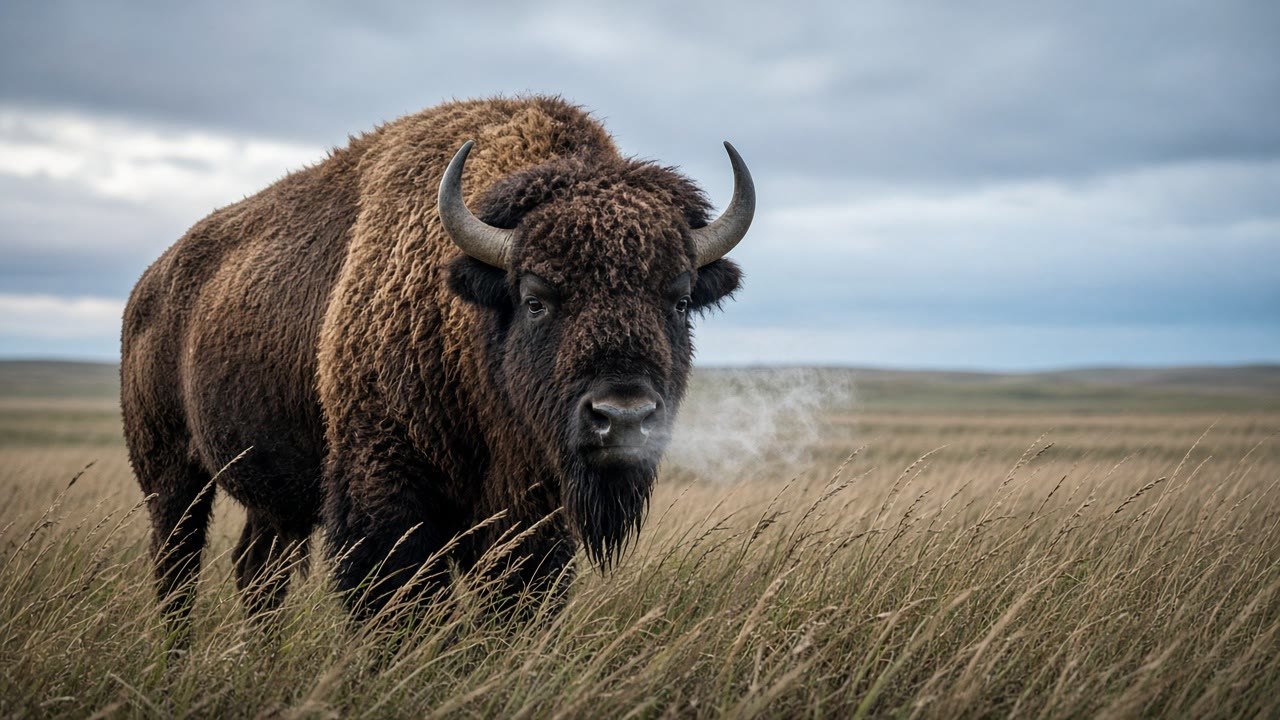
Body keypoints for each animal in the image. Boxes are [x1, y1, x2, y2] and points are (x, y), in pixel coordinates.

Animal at [121, 96, 754, 631]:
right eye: (535, 299)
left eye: (679, 300)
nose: (623, 417)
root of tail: (149, 285)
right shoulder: (386, 498)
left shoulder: (531, 518)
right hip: (171, 474)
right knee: (177, 566)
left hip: (274, 496)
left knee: (257, 572)